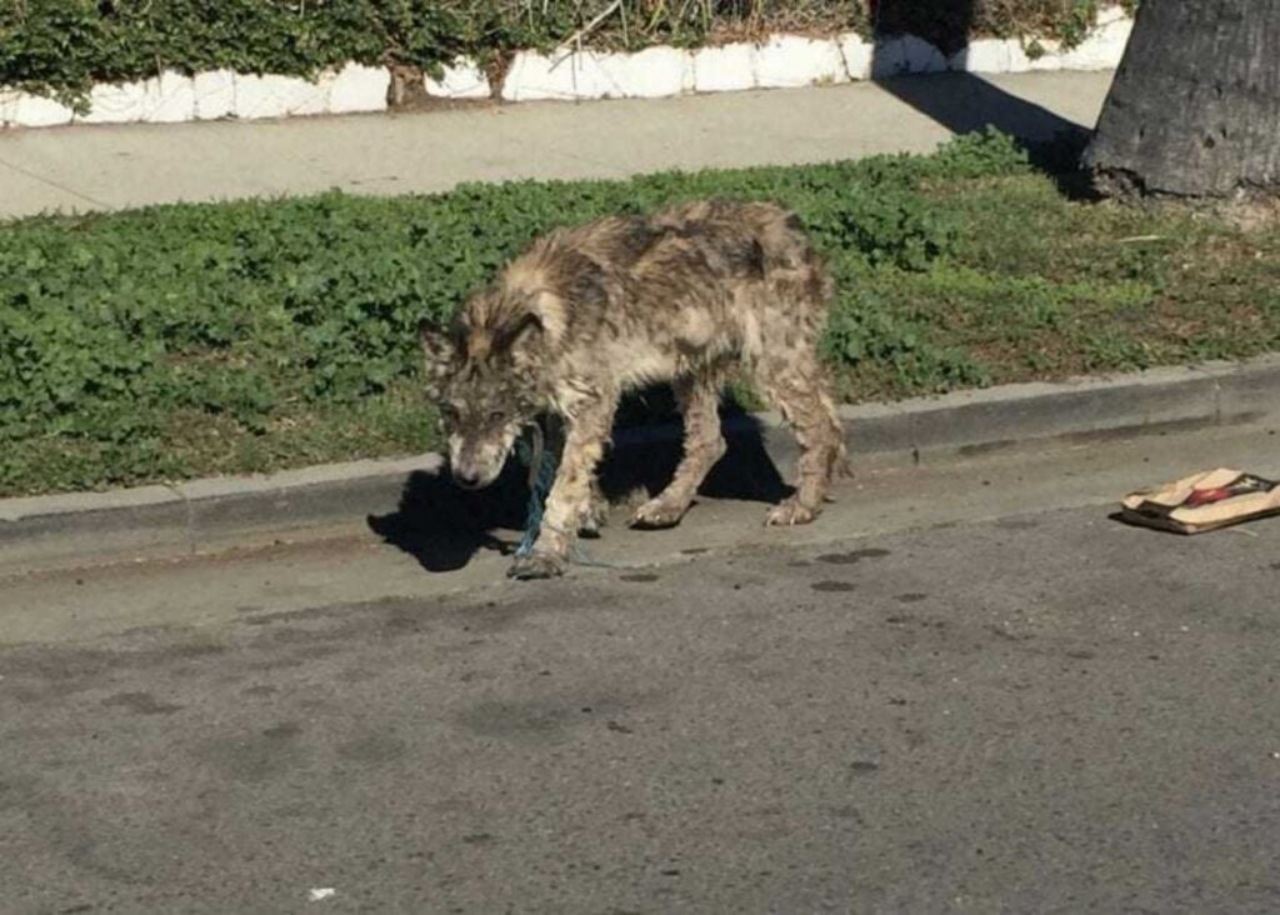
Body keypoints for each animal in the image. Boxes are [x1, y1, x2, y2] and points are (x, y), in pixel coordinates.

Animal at [419, 200, 855, 580]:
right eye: (452, 413)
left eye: (496, 414)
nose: (466, 478)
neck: (542, 314)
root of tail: (793, 228)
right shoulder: (558, 409)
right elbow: (550, 468)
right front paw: (589, 510)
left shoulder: (593, 401)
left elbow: (563, 485)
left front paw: (545, 553)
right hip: (692, 368)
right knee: (711, 440)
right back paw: (667, 507)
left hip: (769, 363)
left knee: (818, 429)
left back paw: (801, 506)